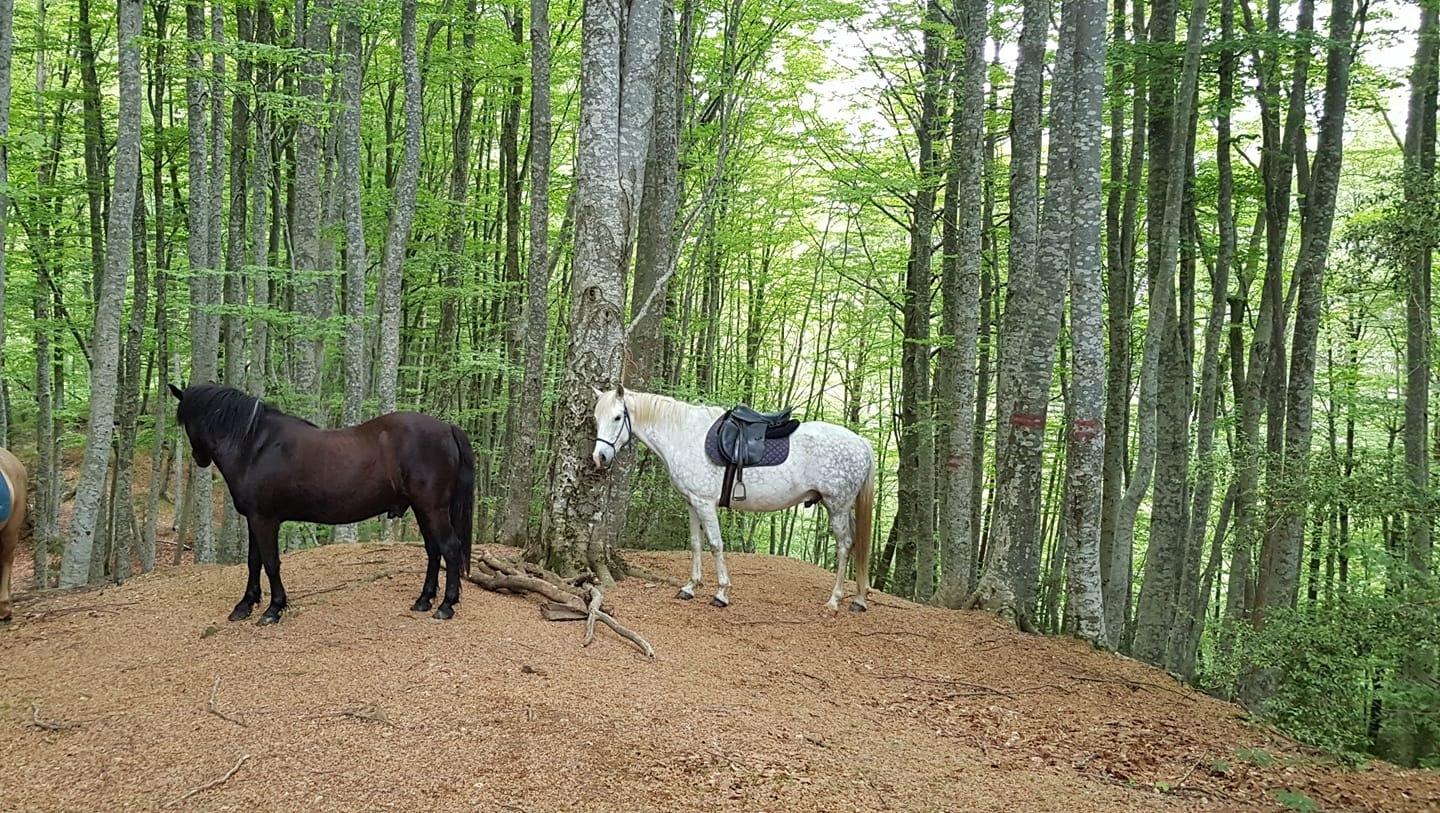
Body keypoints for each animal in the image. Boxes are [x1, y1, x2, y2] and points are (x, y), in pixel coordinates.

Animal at [167, 379, 472, 621]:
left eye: (186, 422)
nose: (199, 458)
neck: (255, 446)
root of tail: (447, 428)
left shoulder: (265, 520)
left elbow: (271, 562)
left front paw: (274, 608)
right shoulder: (254, 519)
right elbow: (254, 562)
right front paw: (245, 605)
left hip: (433, 509)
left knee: (450, 548)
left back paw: (446, 606)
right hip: (423, 510)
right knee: (433, 550)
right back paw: (424, 600)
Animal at [587, 385, 875, 610]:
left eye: (617, 417)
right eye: (596, 418)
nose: (599, 457)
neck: (683, 436)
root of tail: (861, 442)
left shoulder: (705, 503)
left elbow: (715, 544)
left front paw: (721, 593)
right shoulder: (692, 503)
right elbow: (696, 543)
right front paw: (690, 587)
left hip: (837, 506)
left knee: (844, 545)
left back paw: (835, 599)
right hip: (842, 507)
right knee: (855, 544)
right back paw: (859, 598)